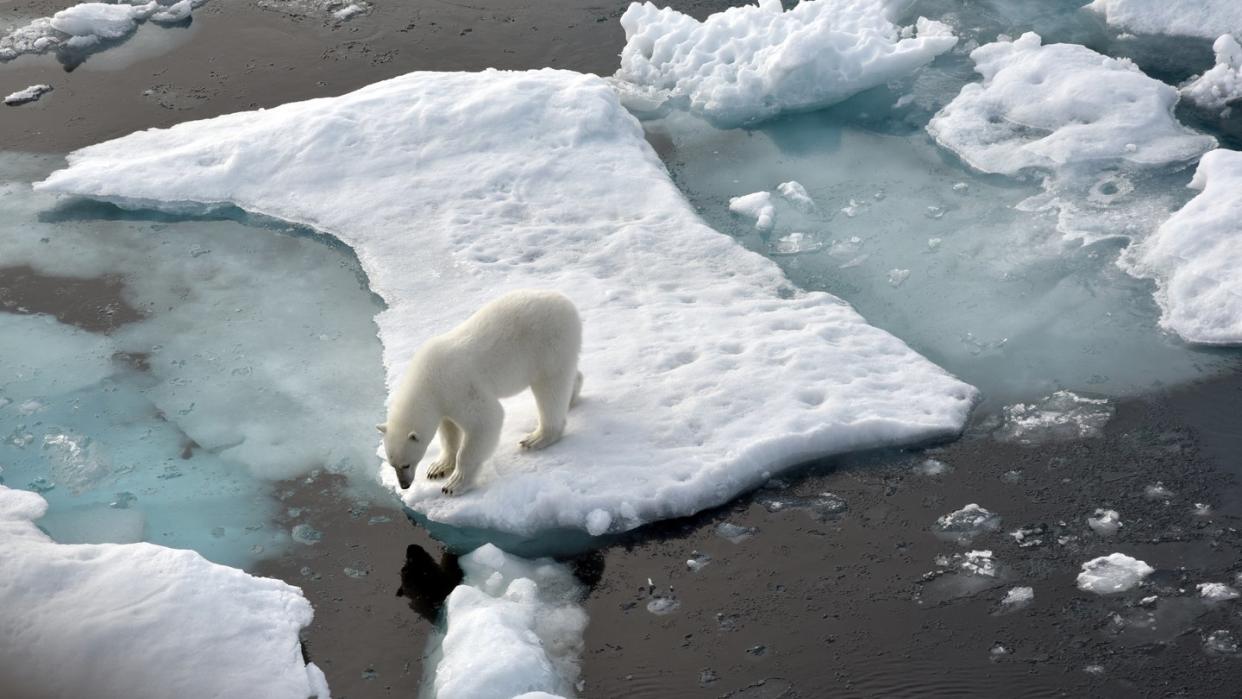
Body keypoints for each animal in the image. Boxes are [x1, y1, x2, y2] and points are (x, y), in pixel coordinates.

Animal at [375, 290, 583, 496]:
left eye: (405, 464)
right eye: (392, 464)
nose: (404, 485)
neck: (427, 379)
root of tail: (568, 304)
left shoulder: (458, 386)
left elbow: (486, 420)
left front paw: (454, 484)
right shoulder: (444, 400)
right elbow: (449, 430)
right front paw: (438, 468)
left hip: (549, 344)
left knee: (550, 388)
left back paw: (537, 437)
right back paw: (572, 396)